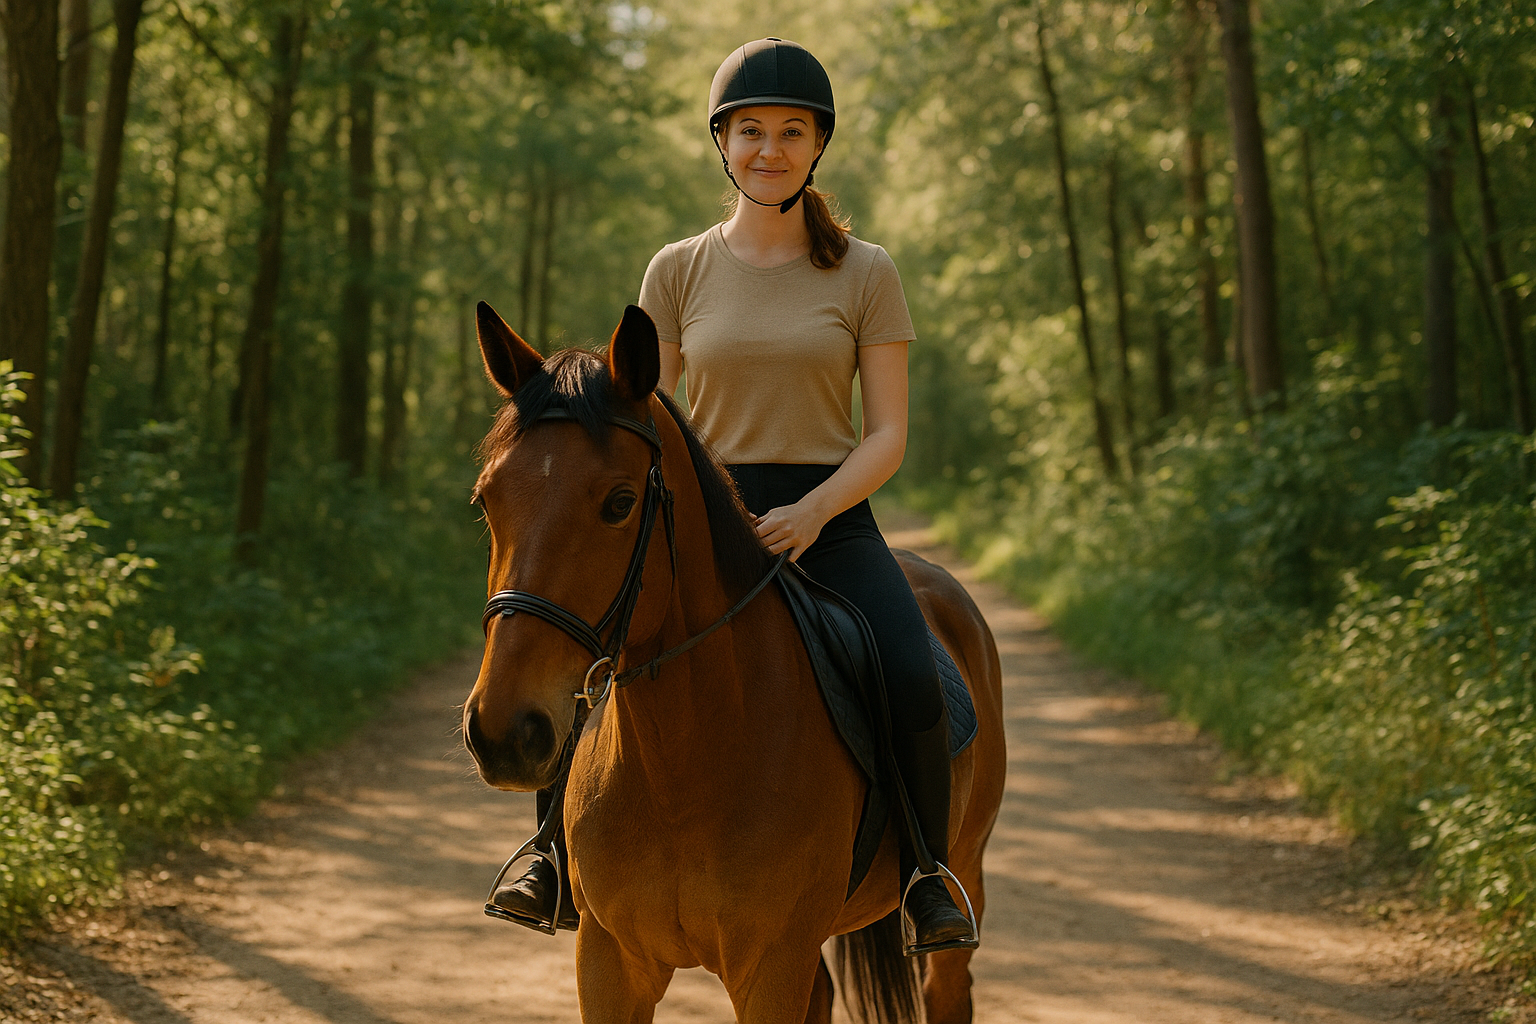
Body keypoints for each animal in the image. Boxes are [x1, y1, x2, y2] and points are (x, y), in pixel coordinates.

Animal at [461, 300, 1006, 1023]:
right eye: (486, 499)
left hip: (961, 873)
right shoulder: (608, 962)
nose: (503, 733)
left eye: (619, 503)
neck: (685, 763)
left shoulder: (769, 968)